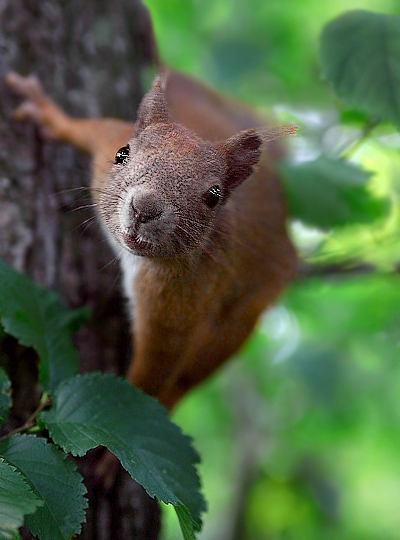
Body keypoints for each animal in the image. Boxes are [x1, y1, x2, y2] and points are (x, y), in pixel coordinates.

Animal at [4, 69, 296, 412]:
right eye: (122, 154)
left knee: (194, 370)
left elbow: (155, 368)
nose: (144, 208)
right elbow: (92, 127)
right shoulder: (106, 146)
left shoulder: (176, 304)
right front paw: (47, 113)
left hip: (240, 317)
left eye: (214, 196)